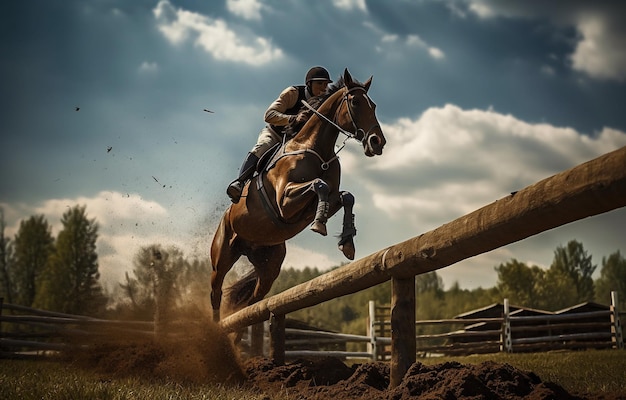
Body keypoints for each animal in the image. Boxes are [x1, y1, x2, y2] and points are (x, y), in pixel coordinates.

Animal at [212, 69, 382, 322]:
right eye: (355, 102)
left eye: (374, 105)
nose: (377, 142)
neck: (316, 148)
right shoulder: (284, 202)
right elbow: (319, 185)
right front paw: (320, 224)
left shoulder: (329, 198)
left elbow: (346, 196)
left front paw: (347, 242)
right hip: (221, 256)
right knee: (216, 291)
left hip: (269, 265)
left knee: (254, 299)